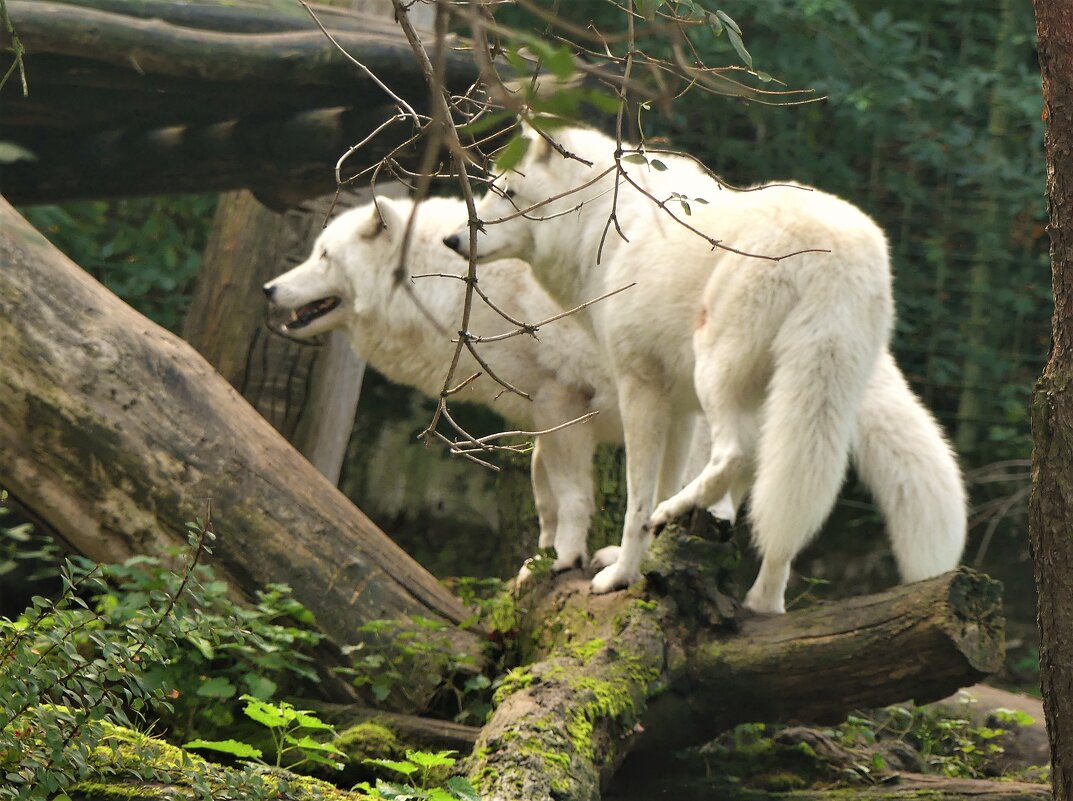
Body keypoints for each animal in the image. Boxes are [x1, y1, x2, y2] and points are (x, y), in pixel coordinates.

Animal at [262, 195, 639, 574]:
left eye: (324, 255)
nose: (268, 289)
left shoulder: (562, 401)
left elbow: (571, 496)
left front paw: (564, 559)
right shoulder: (544, 416)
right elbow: (545, 499)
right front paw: (535, 564)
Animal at [448, 127, 969, 613]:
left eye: (509, 194)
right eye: (491, 189)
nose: (453, 239)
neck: (600, 228)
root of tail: (838, 251)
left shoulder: (641, 391)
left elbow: (638, 500)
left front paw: (620, 575)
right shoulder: (678, 409)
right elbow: (663, 483)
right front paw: (642, 564)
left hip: (718, 373)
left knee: (737, 456)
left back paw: (678, 512)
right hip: (806, 402)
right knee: (784, 497)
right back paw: (763, 602)